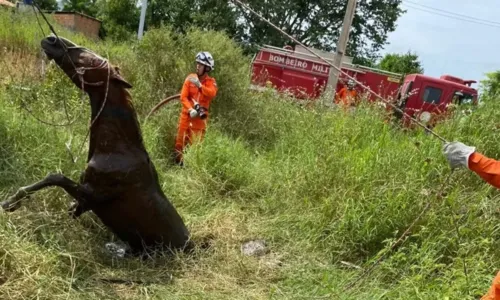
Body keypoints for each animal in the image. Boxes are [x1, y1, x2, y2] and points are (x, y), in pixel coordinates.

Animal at [0, 34, 193, 255]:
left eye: (91, 60)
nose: (51, 40)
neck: (118, 151)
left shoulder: (91, 194)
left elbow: (54, 178)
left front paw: (10, 202)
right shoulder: (85, 200)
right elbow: (72, 208)